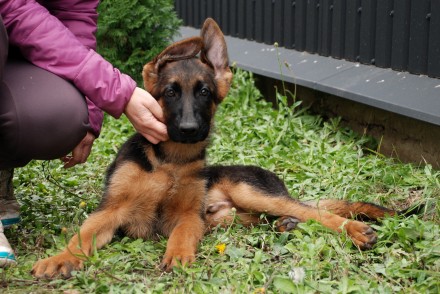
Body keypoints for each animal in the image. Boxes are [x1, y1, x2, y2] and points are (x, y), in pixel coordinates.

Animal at [31, 18, 396, 278]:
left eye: (204, 92)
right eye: (170, 92)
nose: (190, 130)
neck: (171, 161)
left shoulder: (188, 216)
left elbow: (181, 235)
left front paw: (178, 255)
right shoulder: (110, 210)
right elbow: (82, 235)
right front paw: (61, 257)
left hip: (249, 191)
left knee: (316, 212)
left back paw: (354, 230)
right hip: (233, 215)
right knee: (285, 215)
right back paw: (286, 224)